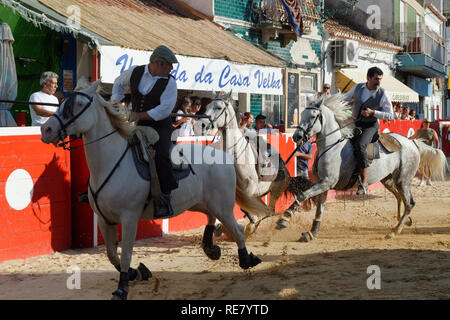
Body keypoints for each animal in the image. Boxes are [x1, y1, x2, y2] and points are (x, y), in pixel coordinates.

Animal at [42, 80, 262, 300]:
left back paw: (246, 260)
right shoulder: (105, 220)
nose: (46, 129)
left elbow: (126, 254)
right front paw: (138, 272)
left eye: (78, 105)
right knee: (211, 218)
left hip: (222, 205)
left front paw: (121, 289)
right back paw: (211, 249)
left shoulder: (129, 218)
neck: (110, 162)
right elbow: (112, 254)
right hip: (201, 202)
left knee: (237, 230)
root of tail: (223, 156)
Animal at [195, 93, 290, 235]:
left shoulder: (249, 189)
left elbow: (247, 209)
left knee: (270, 210)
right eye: (206, 107)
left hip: (275, 191)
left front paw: (250, 224)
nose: (201, 124)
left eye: (218, 107)